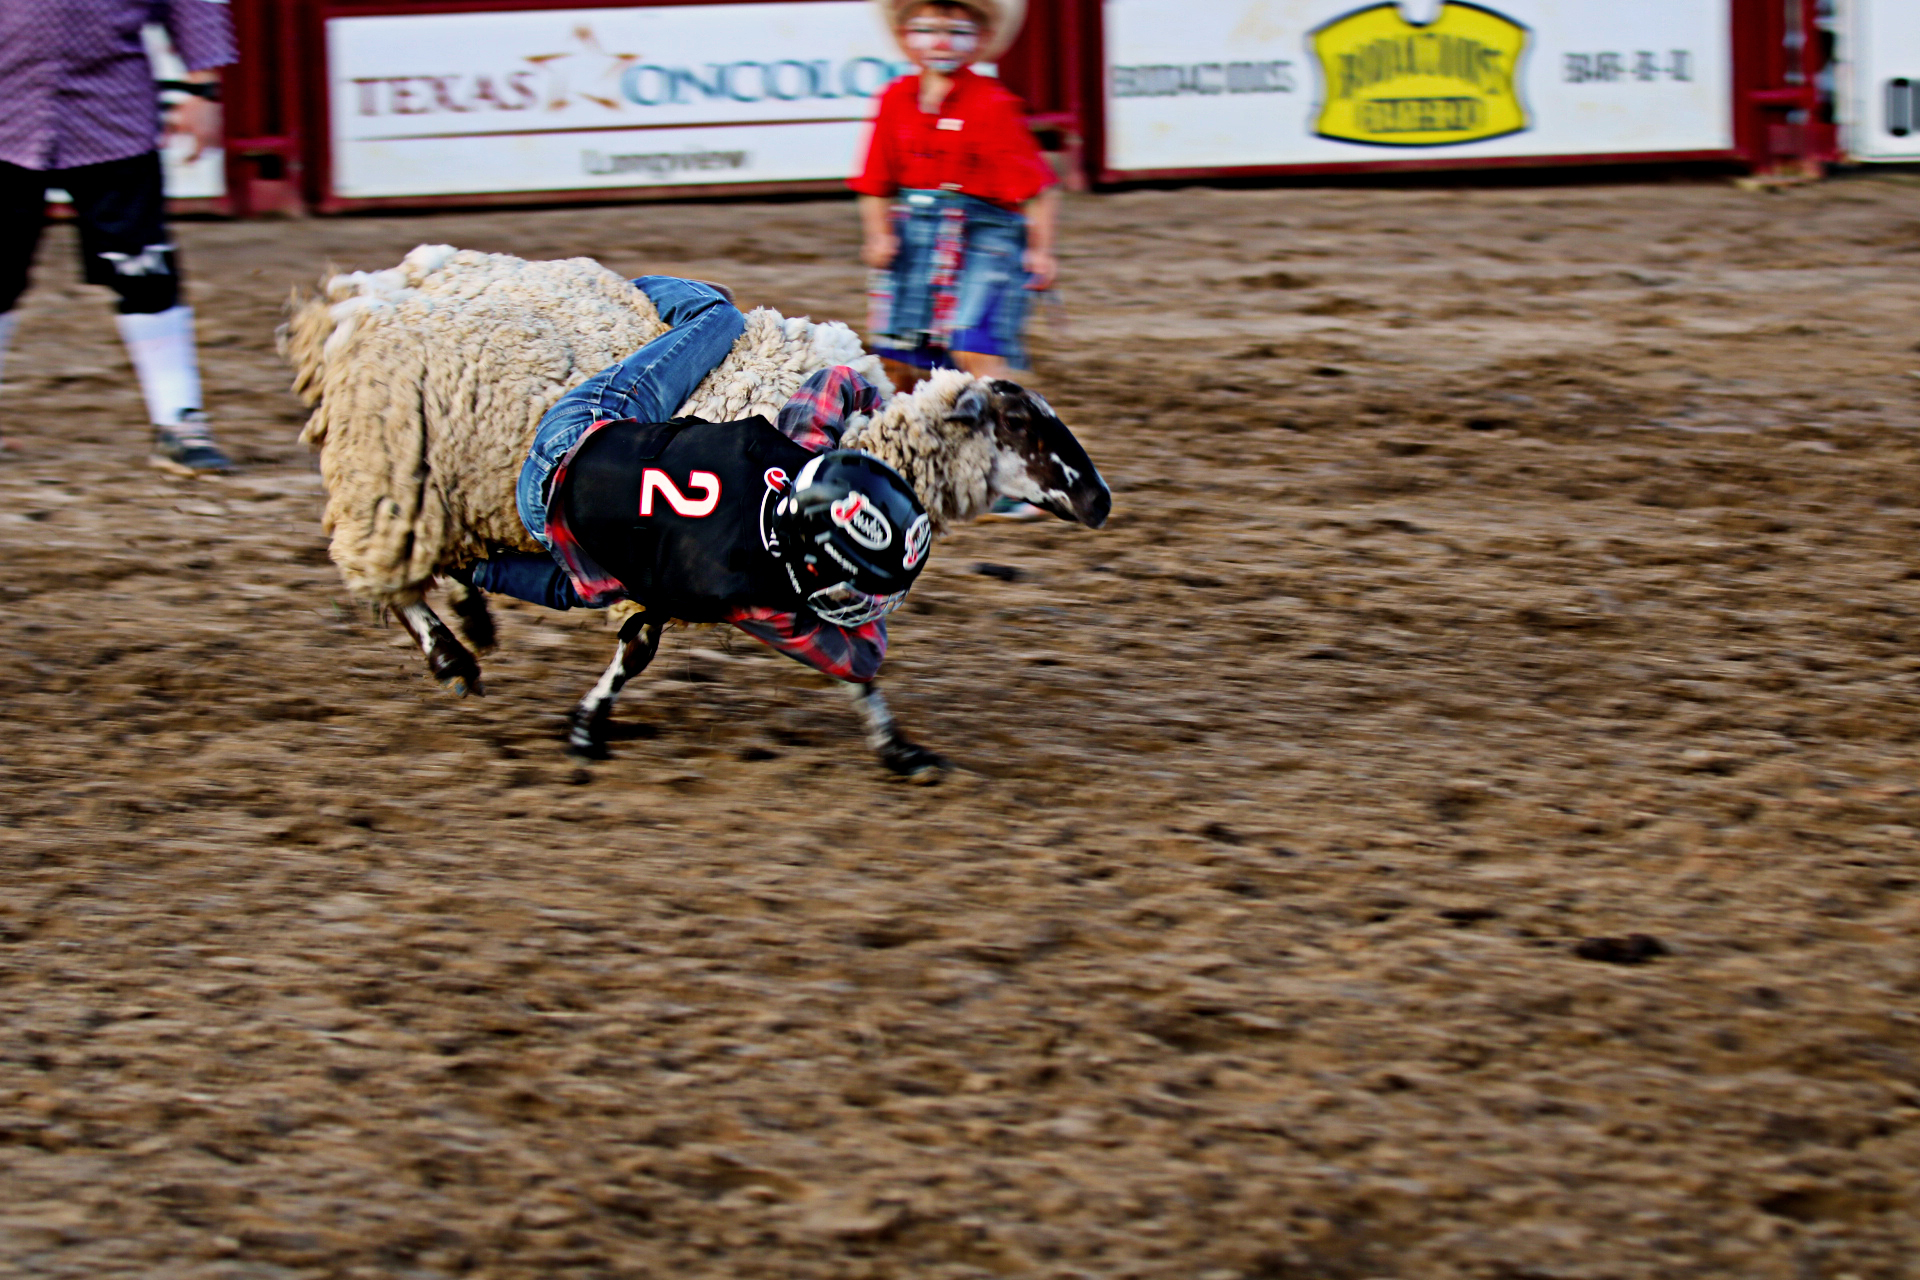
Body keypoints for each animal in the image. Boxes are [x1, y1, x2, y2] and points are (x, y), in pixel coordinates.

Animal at [282, 245, 1111, 776]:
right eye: (1022, 423)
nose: (1101, 499)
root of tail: (354, 301)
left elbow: (842, 667)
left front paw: (897, 746)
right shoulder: (683, 569)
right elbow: (638, 649)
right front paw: (588, 725)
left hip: (449, 497)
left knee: (454, 562)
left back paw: (470, 616)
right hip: (388, 477)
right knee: (384, 576)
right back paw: (450, 656)